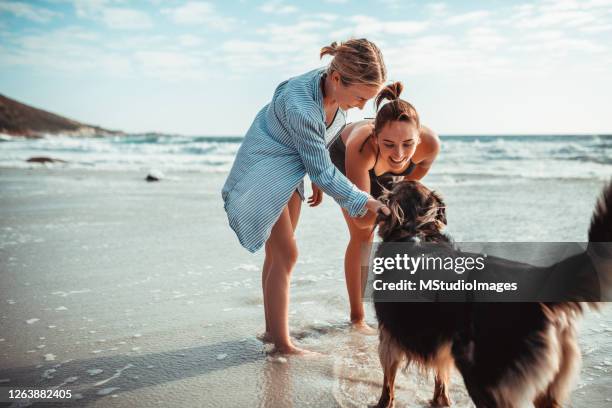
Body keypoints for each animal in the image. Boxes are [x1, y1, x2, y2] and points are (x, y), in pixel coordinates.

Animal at [370, 181, 612, 408]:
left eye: (394, 186)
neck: (416, 228)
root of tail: (538, 277)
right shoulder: (439, 346)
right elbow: (441, 378)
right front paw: (441, 401)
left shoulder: (388, 337)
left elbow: (388, 381)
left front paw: (383, 403)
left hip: (483, 375)